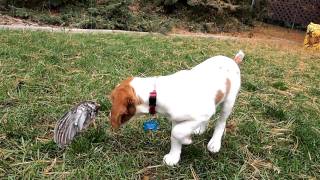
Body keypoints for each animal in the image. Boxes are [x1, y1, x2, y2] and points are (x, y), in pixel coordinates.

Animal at [110, 50, 245, 166]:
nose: (109, 117)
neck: (156, 92)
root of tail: (233, 60)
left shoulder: (202, 113)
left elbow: (176, 132)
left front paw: (186, 140)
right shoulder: (177, 119)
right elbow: (175, 136)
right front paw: (174, 156)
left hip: (228, 102)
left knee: (221, 122)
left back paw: (214, 143)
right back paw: (200, 129)